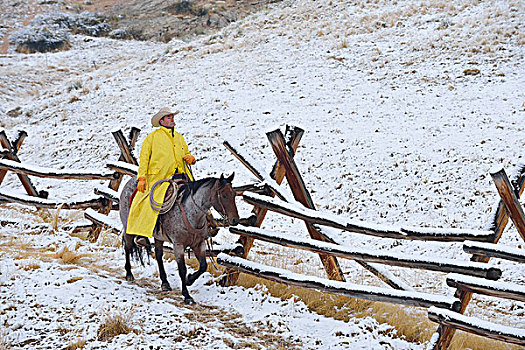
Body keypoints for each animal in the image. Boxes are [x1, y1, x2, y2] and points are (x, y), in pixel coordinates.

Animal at [117, 174, 238, 304]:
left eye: (234, 194)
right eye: (224, 195)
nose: (235, 220)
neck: (190, 213)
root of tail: (130, 181)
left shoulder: (198, 244)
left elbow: (203, 266)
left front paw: (189, 280)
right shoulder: (178, 245)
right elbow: (182, 269)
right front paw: (187, 295)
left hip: (159, 237)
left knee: (158, 255)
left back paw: (165, 283)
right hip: (128, 228)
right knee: (128, 247)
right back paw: (129, 274)